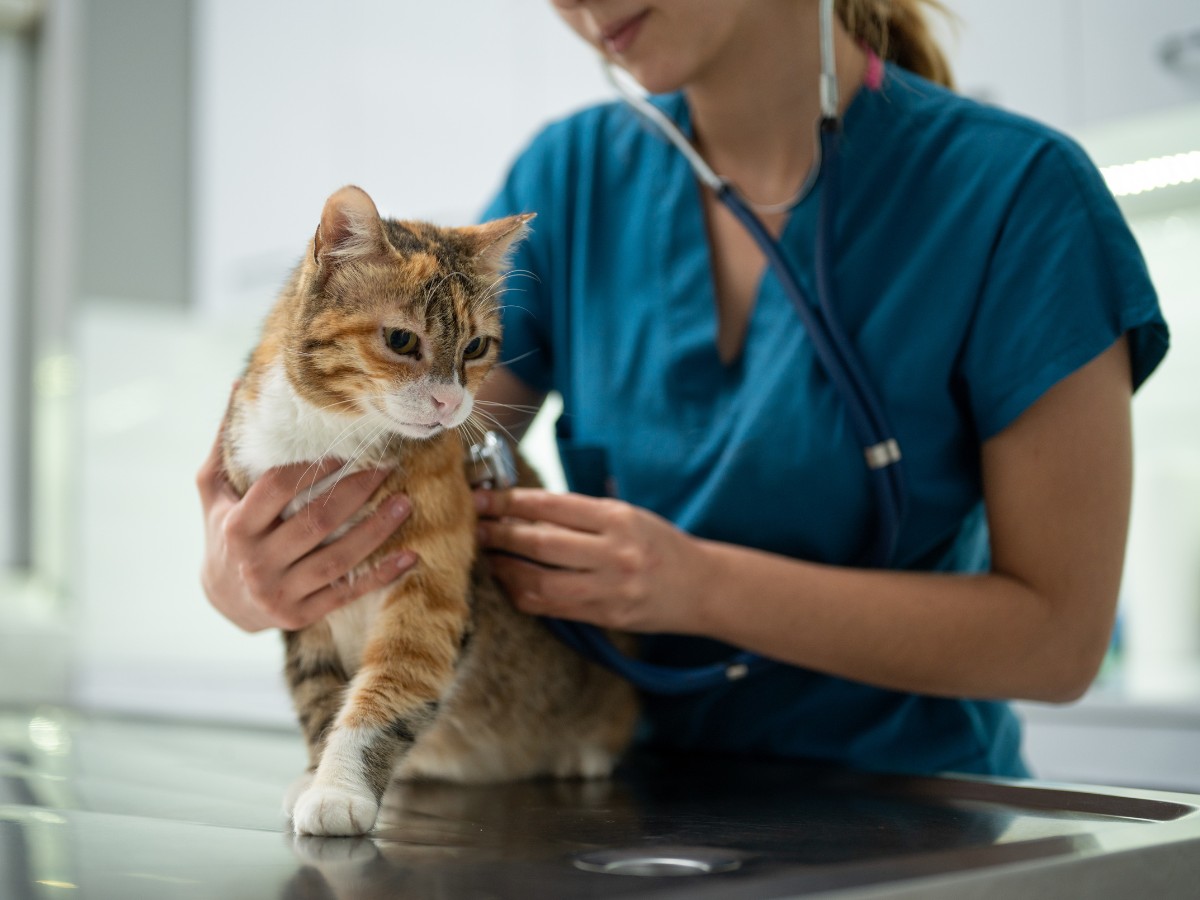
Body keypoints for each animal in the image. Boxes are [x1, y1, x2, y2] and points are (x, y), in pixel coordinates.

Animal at [222, 187, 643, 844]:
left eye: (475, 347)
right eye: (401, 341)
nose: (449, 402)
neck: (333, 443)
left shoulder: (428, 594)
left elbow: (385, 692)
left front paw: (338, 791)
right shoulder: (300, 600)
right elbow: (318, 695)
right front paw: (316, 777)